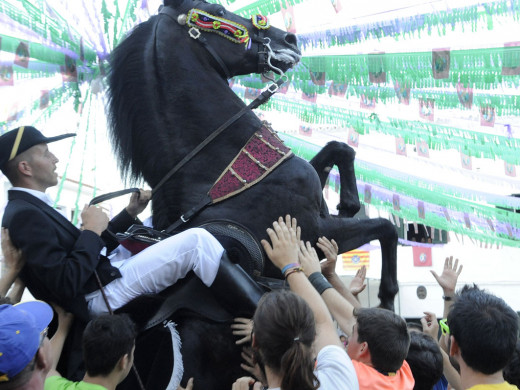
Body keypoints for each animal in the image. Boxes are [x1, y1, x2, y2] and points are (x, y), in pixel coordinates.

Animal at [106, 0, 398, 386]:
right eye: (215, 10)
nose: (288, 38)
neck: (215, 167)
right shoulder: (312, 229)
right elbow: (387, 229)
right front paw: (386, 303)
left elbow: (339, 149)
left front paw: (349, 200)